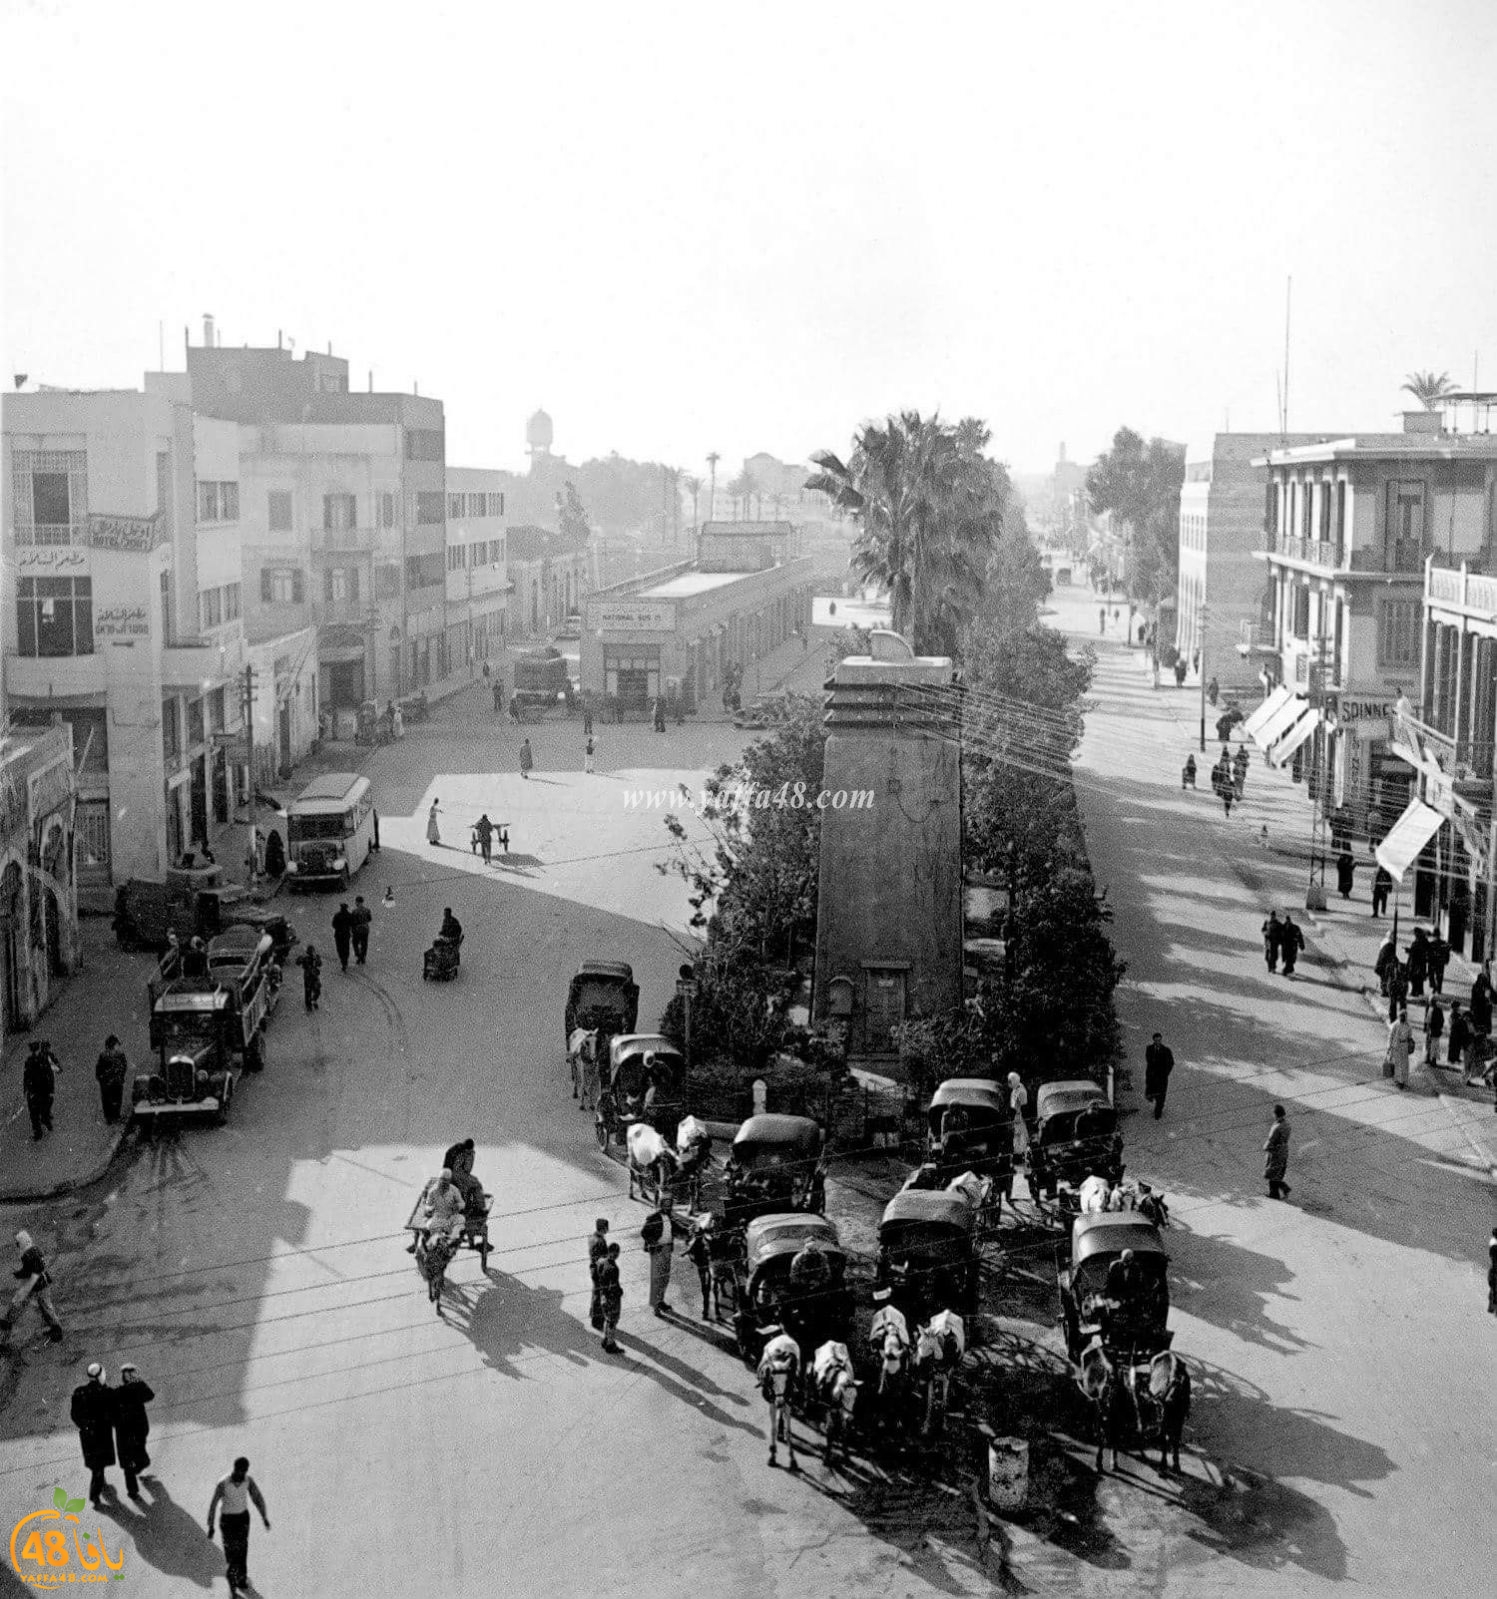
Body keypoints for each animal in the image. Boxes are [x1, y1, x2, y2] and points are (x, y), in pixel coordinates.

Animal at [754, 1330, 799, 1464]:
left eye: (787, 1381)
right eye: (772, 1381)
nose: (780, 1402)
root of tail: (783, 1335)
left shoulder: (788, 1400)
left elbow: (789, 1431)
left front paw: (792, 1458)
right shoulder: (772, 1401)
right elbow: (772, 1429)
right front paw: (772, 1454)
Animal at [812, 1336, 857, 1464]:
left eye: (855, 1399)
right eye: (841, 1395)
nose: (851, 1418)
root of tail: (831, 1342)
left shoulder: (843, 1413)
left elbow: (844, 1432)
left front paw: (846, 1456)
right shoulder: (829, 1408)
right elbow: (830, 1430)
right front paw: (827, 1457)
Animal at [914, 1311, 972, 1439]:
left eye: (931, 1348)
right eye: (919, 1344)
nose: (916, 1366)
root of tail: (948, 1312)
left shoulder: (945, 1379)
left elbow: (944, 1403)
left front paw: (944, 1425)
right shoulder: (930, 1378)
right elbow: (929, 1403)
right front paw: (925, 1428)